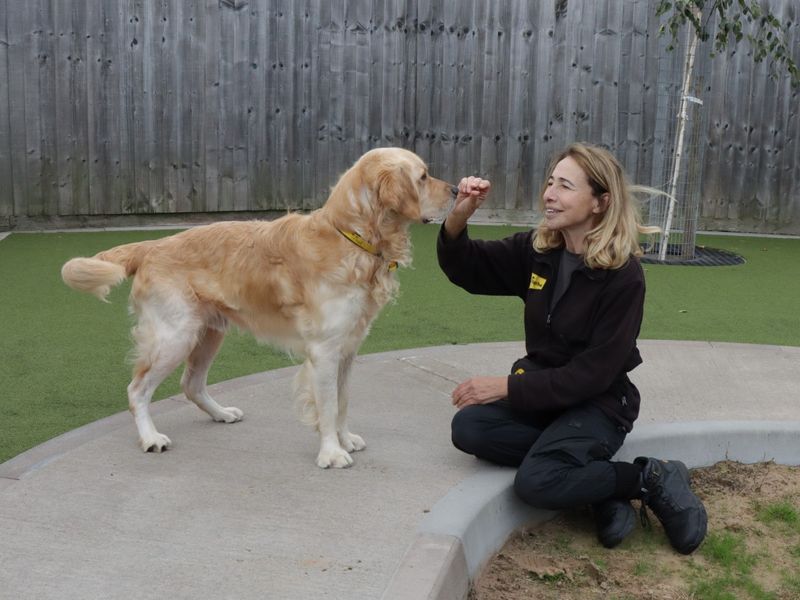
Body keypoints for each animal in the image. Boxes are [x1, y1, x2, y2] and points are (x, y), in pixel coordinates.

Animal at [61, 148, 456, 466]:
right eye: (423, 176)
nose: (455, 190)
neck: (352, 238)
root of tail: (151, 246)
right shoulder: (325, 350)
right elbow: (328, 406)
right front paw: (331, 453)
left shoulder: (347, 349)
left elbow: (342, 402)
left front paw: (345, 440)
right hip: (176, 335)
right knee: (137, 389)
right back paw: (150, 437)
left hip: (209, 332)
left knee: (191, 383)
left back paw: (221, 413)